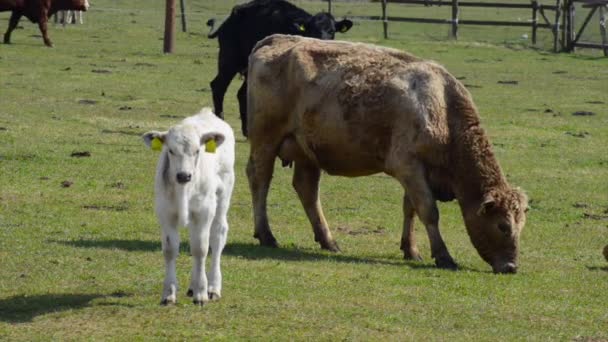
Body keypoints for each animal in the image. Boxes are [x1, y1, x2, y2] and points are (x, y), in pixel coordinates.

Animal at [142, 107, 235, 304]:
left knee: (217, 235)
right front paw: (169, 293)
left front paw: (201, 293)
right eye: (170, 150)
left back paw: (213, 287)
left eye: (197, 150)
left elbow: (200, 249)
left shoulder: (204, 211)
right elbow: (170, 249)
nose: (184, 175)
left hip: (223, 193)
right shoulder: (165, 212)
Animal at [208, 0, 354, 136]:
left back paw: (247, 130)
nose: (323, 41)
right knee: (218, 87)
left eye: (332, 31)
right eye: (313, 30)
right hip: (229, 60)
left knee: (242, 93)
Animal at [246, 34, 528, 274]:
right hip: (265, 140)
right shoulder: (408, 166)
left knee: (307, 190)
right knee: (260, 179)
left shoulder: (416, 173)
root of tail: (276, 39)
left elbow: (409, 208)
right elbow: (428, 210)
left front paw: (410, 249)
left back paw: (328, 241)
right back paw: (267, 234)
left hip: (307, 151)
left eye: (521, 225)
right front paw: (443, 256)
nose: (511, 267)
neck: (441, 107)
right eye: (503, 226)